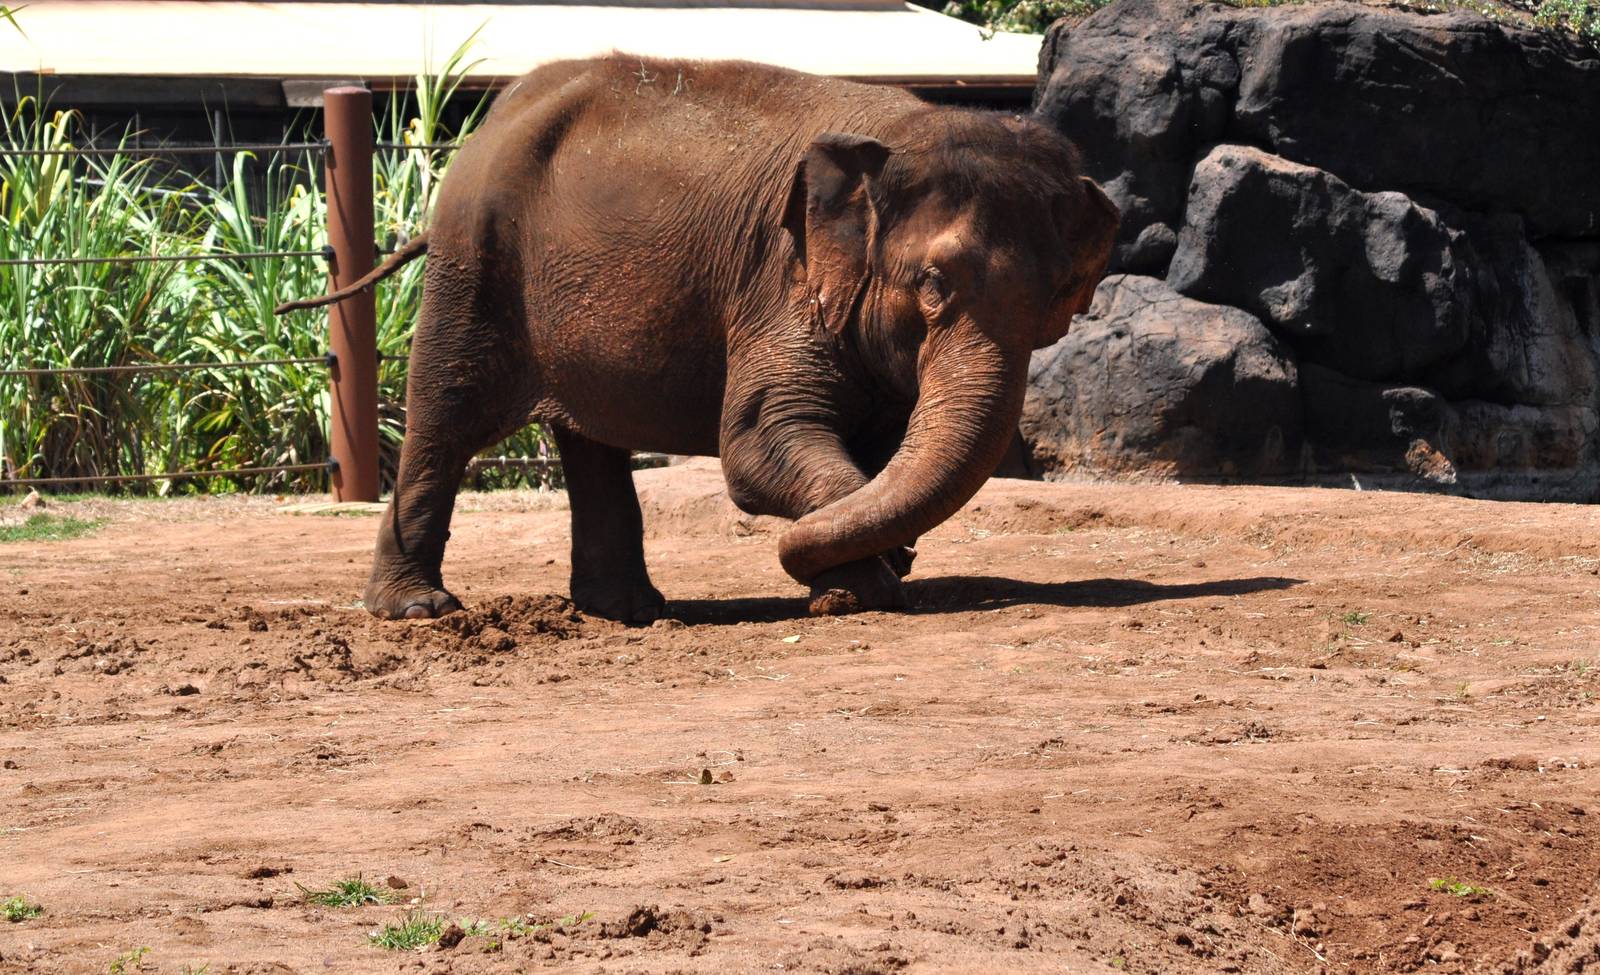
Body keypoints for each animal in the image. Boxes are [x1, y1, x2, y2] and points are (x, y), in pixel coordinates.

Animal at [279, 55, 1118, 623]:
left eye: (1056, 305)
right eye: (934, 285)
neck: (904, 133)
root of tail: (490, 122)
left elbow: (877, 453)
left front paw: (861, 570)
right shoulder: (780, 281)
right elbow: (754, 444)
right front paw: (868, 578)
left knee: (592, 441)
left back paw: (629, 611)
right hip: (474, 263)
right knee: (446, 420)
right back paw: (420, 610)